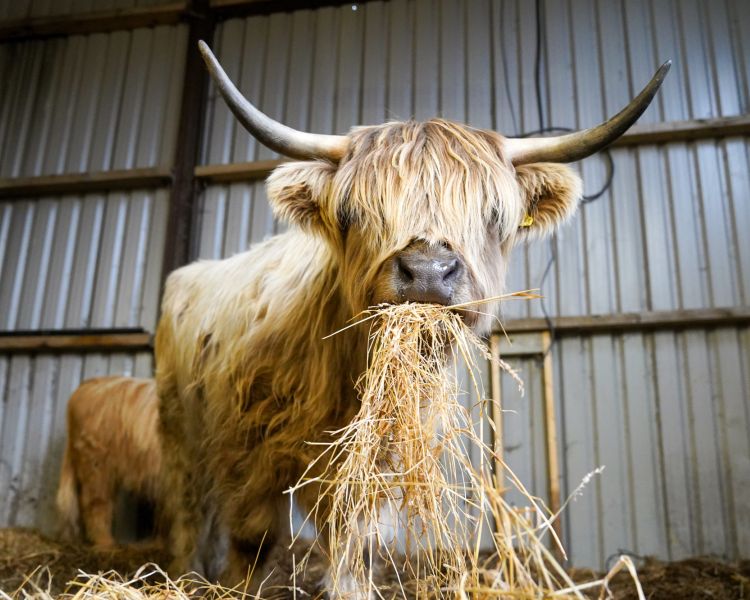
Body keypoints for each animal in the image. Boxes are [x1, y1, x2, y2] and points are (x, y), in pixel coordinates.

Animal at [155, 40, 669, 588]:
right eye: (351, 213)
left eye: (494, 215)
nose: (427, 271)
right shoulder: (246, 451)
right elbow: (253, 542)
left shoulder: (378, 462)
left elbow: (355, 547)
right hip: (180, 428)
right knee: (188, 509)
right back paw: (186, 572)